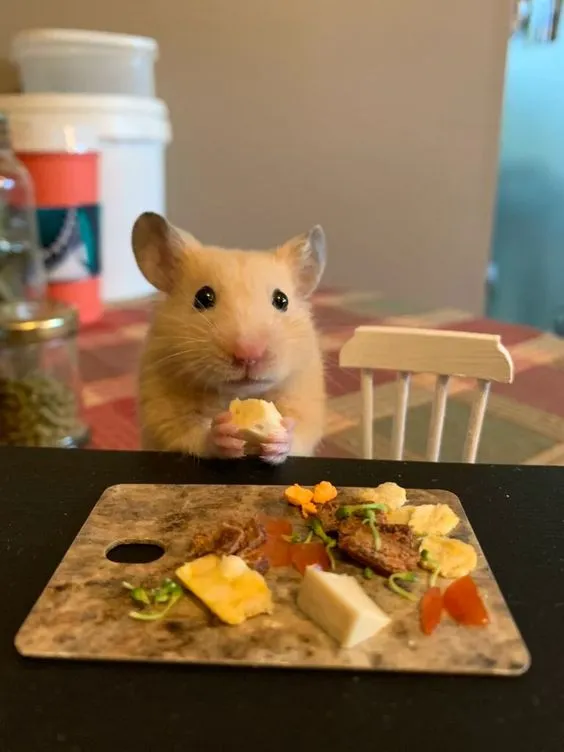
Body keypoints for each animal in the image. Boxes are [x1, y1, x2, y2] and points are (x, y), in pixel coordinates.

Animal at [132, 212, 327, 464]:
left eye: (282, 300)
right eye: (203, 297)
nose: (248, 354)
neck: (237, 394)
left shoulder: (305, 398)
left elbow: (299, 432)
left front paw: (280, 437)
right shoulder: (162, 410)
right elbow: (191, 433)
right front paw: (224, 432)